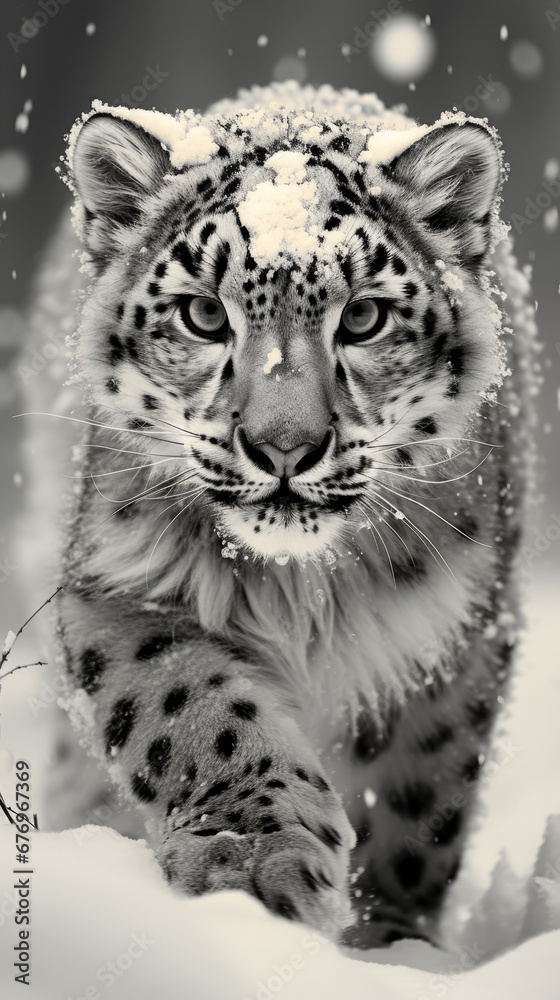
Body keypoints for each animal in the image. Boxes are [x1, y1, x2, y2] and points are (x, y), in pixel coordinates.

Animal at [38, 82, 537, 948]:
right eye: (204, 315)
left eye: (364, 317)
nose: (284, 446)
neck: (304, 592)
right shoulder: (119, 587)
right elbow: (192, 710)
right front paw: (249, 862)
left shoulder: (457, 632)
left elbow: (418, 797)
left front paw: (390, 940)